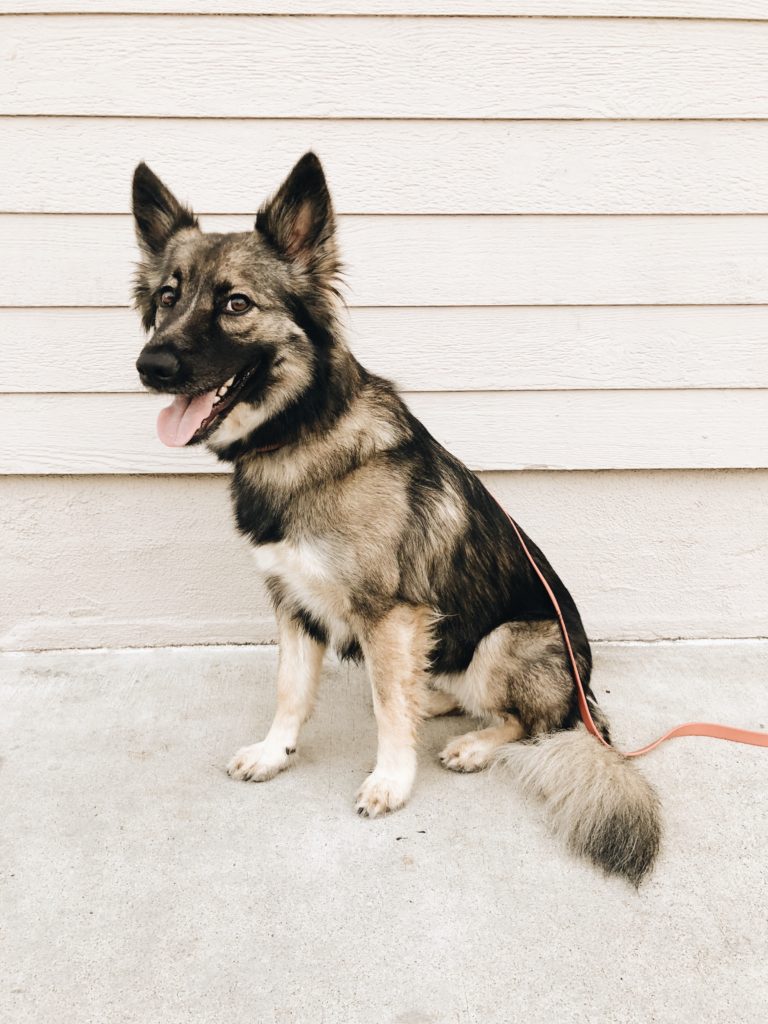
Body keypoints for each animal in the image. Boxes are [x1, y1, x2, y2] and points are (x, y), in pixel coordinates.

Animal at [132, 153, 663, 888]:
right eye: (167, 298)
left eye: (236, 304)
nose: (150, 365)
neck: (301, 437)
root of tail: (585, 695)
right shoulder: (293, 604)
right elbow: (291, 691)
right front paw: (275, 751)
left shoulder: (389, 614)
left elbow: (387, 707)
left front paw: (391, 779)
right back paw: (435, 700)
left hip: (509, 640)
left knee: (534, 723)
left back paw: (475, 742)